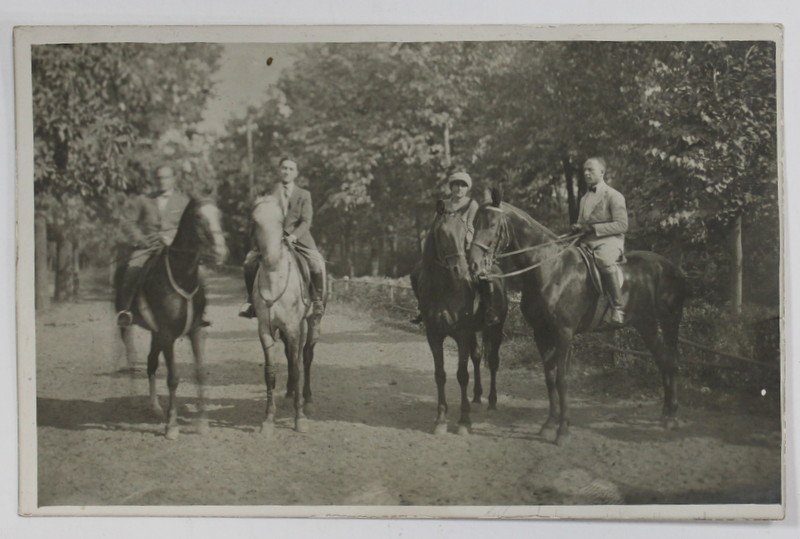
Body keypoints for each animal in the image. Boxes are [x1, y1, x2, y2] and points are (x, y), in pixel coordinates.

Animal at [116, 200, 228, 440]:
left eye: (219, 215)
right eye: (198, 217)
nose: (220, 252)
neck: (182, 275)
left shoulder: (195, 331)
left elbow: (199, 373)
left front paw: (202, 423)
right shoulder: (168, 334)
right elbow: (173, 378)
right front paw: (172, 426)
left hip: (156, 333)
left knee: (151, 362)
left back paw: (154, 406)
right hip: (129, 328)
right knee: (132, 359)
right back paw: (134, 398)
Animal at [252, 194, 324, 434]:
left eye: (279, 222)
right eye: (255, 221)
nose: (270, 258)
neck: (275, 278)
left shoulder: (293, 327)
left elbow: (298, 367)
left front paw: (299, 419)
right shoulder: (266, 329)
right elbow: (270, 372)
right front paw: (268, 420)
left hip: (310, 323)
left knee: (306, 357)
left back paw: (307, 401)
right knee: (291, 357)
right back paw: (290, 394)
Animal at [416, 200, 510, 436]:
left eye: (463, 234)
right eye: (443, 234)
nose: (462, 270)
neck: (444, 288)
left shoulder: (462, 334)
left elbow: (461, 375)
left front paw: (464, 421)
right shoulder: (434, 335)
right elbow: (440, 374)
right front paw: (441, 419)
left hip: (495, 329)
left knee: (493, 362)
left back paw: (492, 401)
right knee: (477, 357)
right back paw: (476, 397)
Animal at [468, 190, 688, 448]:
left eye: (492, 224)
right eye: (474, 223)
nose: (473, 264)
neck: (551, 268)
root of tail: (671, 267)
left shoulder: (564, 334)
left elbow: (562, 380)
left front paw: (563, 430)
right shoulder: (541, 333)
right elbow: (549, 378)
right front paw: (549, 425)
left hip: (668, 322)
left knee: (671, 363)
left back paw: (673, 417)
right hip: (648, 326)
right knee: (664, 361)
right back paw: (666, 414)